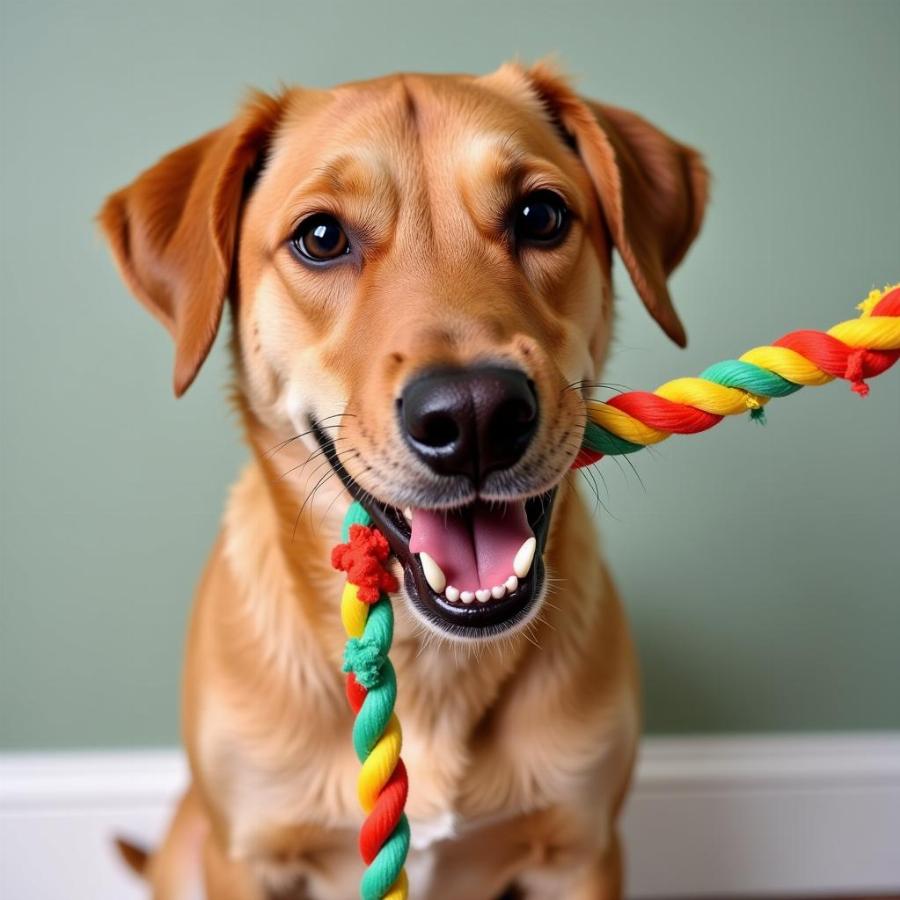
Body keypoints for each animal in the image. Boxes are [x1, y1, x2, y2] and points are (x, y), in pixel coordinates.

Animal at [100, 59, 712, 896]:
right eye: (321, 237)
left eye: (541, 215)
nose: (476, 415)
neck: (432, 667)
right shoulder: (247, 857)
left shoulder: (581, 851)